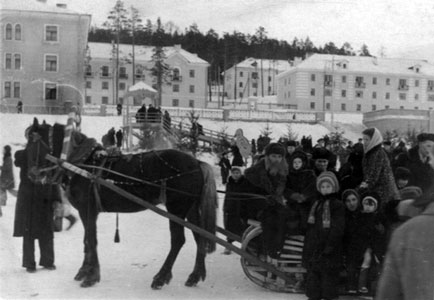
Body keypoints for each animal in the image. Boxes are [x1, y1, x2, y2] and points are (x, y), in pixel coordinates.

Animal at [26, 119, 217, 288]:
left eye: (33, 142)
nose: (31, 173)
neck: (83, 165)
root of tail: (197, 162)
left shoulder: (88, 210)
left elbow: (91, 240)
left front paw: (92, 276)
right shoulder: (85, 211)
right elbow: (86, 240)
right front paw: (83, 271)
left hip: (176, 208)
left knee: (178, 240)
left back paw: (161, 277)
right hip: (191, 209)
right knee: (200, 236)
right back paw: (195, 275)